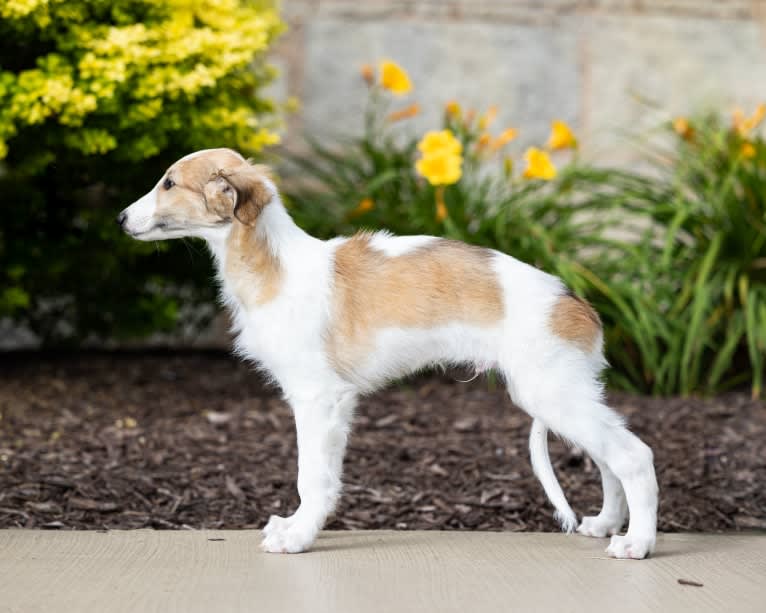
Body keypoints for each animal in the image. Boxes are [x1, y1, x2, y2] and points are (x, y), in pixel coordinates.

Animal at [120, 147, 660, 556]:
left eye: (168, 183)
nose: (121, 218)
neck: (276, 265)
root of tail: (578, 305)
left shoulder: (320, 399)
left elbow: (312, 477)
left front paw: (299, 536)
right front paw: (294, 526)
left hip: (551, 393)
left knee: (634, 456)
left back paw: (637, 544)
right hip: (566, 394)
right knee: (609, 459)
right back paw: (606, 524)